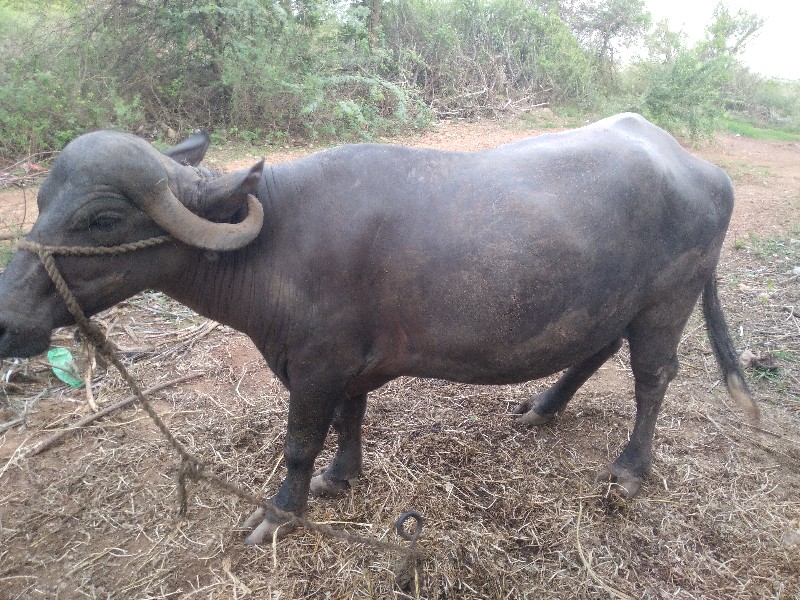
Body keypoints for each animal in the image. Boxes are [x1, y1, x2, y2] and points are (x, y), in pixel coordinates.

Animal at [0, 112, 756, 544]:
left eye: (103, 219)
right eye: (42, 201)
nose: (8, 321)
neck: (274, 244)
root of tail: (702, 169)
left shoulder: (315, 366)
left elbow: (299, 443)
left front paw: (280, 512)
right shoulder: (346, 365)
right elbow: (349, 418)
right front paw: (343, 475)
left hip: (667, 302)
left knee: (653, 377)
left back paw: (629, 469)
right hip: (610, 302)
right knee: (595, 348)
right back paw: (543, 407)